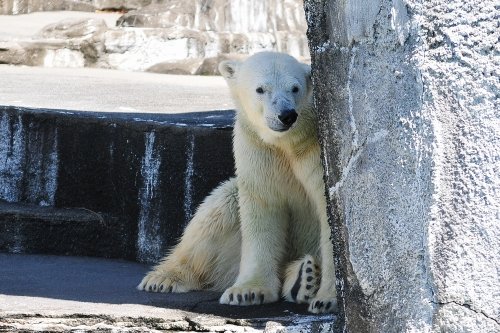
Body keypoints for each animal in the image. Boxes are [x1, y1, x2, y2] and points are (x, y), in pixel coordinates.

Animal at [138, 50, 336, 312]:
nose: (286, 115)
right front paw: (248, 292)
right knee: (219, 209)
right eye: (260, 89)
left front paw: (326, 299)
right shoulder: (258, 148)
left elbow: (328, 213)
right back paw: (163, 278)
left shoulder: (314, 152)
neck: (289, 142)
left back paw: (304, 279)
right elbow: (262, 206)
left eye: (295, 88)